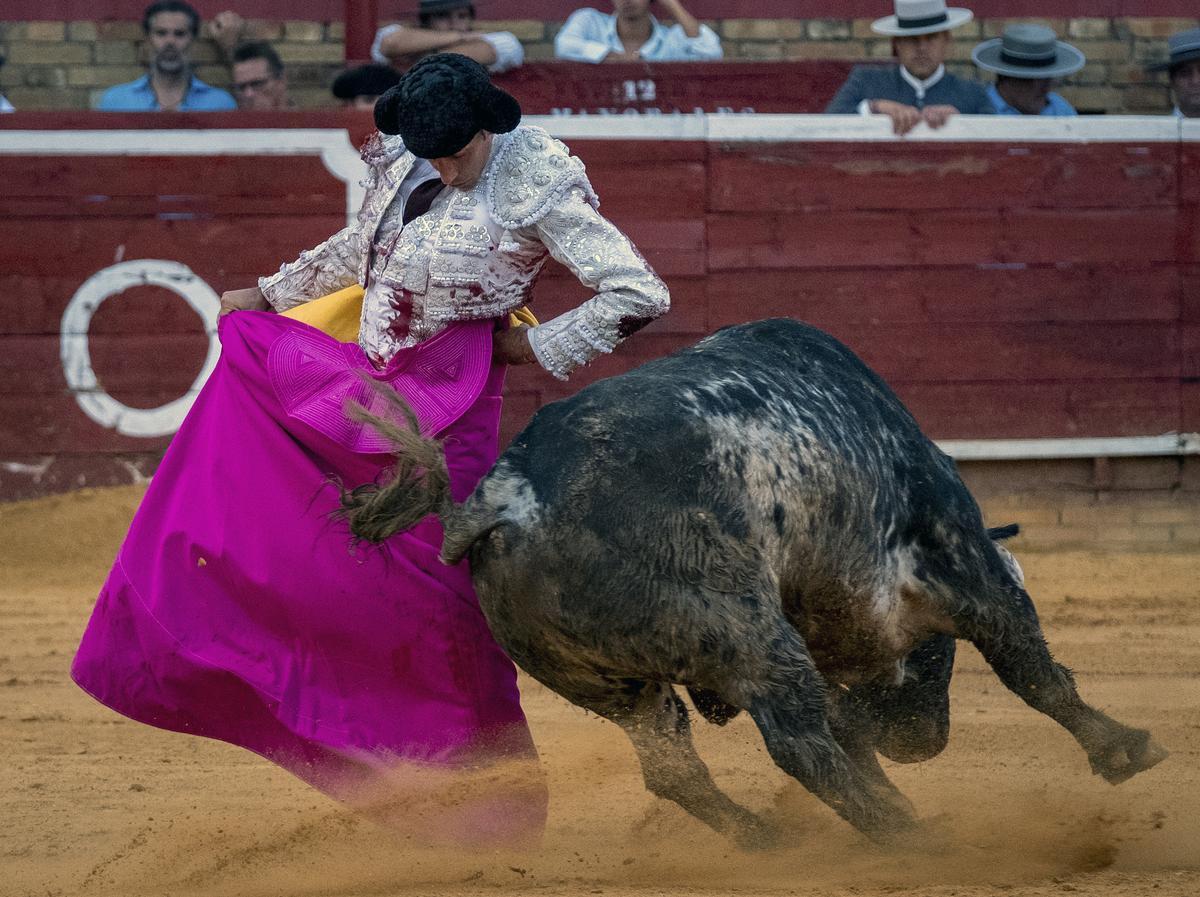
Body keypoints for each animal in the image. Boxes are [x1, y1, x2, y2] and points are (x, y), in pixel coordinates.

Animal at [343, 321, 1166, 849]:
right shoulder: (963, 563)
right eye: (941, 657)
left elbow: (850, 724)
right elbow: (1033, 668)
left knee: (676, 767)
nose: (920, 745)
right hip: (750, 636)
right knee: (798, 743)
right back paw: (910, 835)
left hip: (612, 685)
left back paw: (770, 836)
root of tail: (505, 497)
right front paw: (1127, 750)